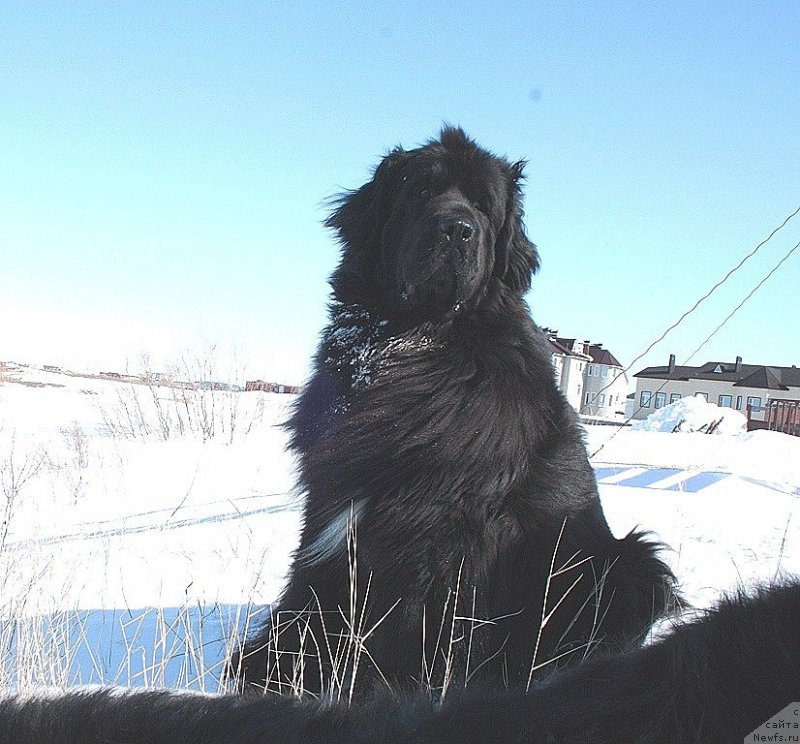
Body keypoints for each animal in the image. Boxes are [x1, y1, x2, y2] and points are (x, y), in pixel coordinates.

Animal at [230, 125, 676, 696]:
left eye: (484, 207)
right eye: (420, 189)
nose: (456, 230)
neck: (413, 345)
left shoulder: (439, 529)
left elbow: (413, 620)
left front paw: (385, 689)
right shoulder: (332, 503)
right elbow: (308, 588)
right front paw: (269, 667)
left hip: (631, 564)